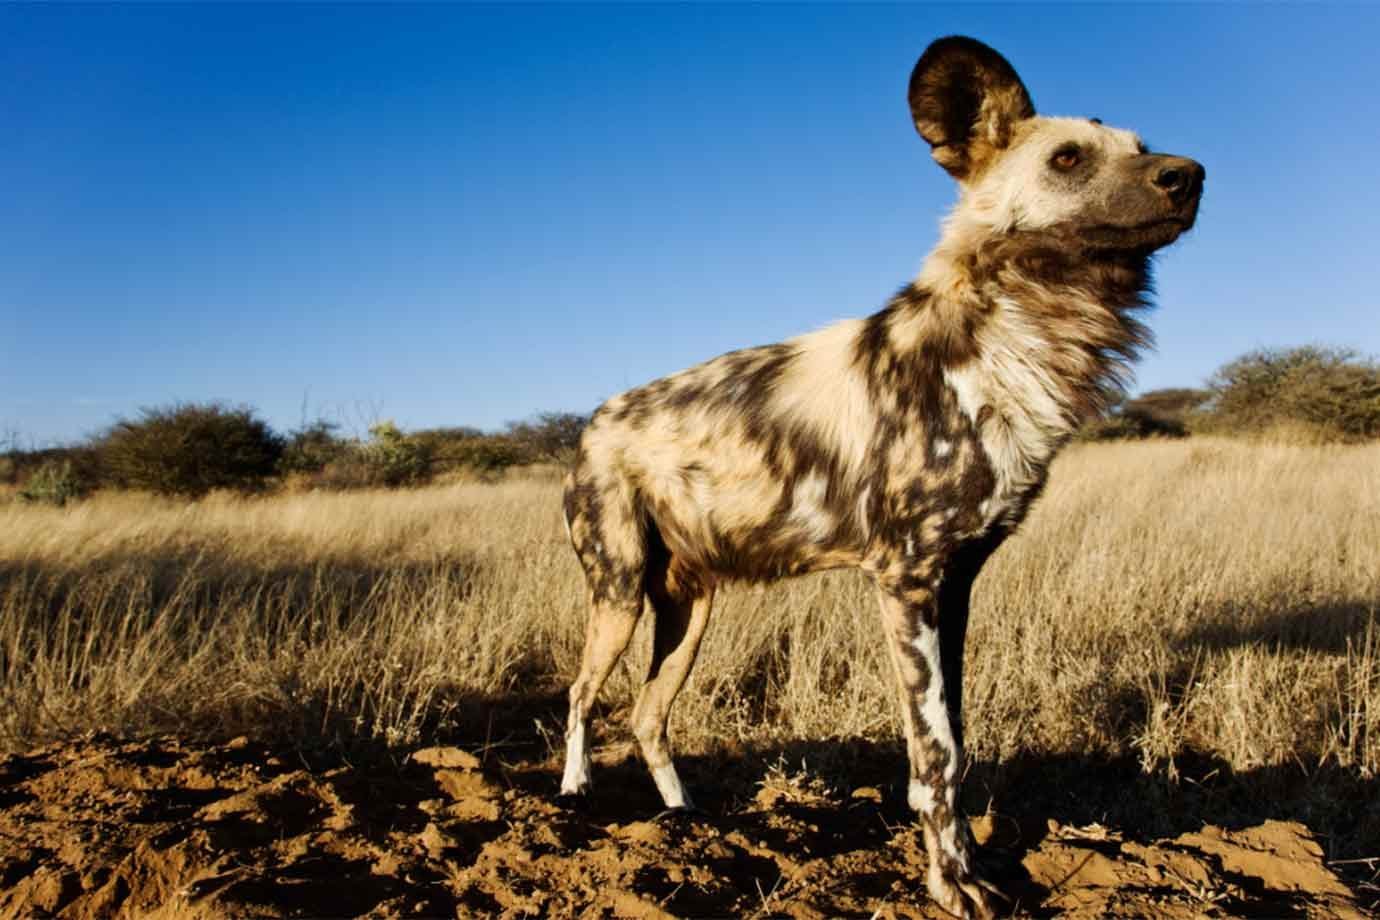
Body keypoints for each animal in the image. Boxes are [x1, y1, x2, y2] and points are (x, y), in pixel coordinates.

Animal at [554, 37, 1203, 920]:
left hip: (690, 611)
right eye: (1068, 159)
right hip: (618, 597)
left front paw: (969, 867)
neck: (1017, 342)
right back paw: (574, 800)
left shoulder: (955, 586)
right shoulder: (906, 581)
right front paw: (952, 885)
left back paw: (687, 824)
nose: (1190, 174)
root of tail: (594, 418)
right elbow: (934, 756)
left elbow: (956, 746)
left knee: (649, 718)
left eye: (1142, 147)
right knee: (582, 696)